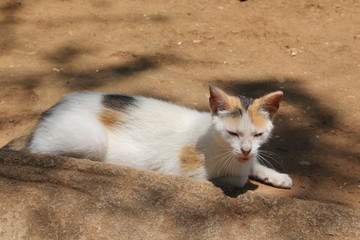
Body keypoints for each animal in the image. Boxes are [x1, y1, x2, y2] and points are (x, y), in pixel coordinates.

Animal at [3, 83, 292, 188]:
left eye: (258, 134)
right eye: (232, 132)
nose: (245, 149)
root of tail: (49, 110)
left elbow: (253, 165)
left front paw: (276, 176)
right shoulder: (178, 170)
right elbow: (237, 180)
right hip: (91, 140)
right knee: (38, 150)